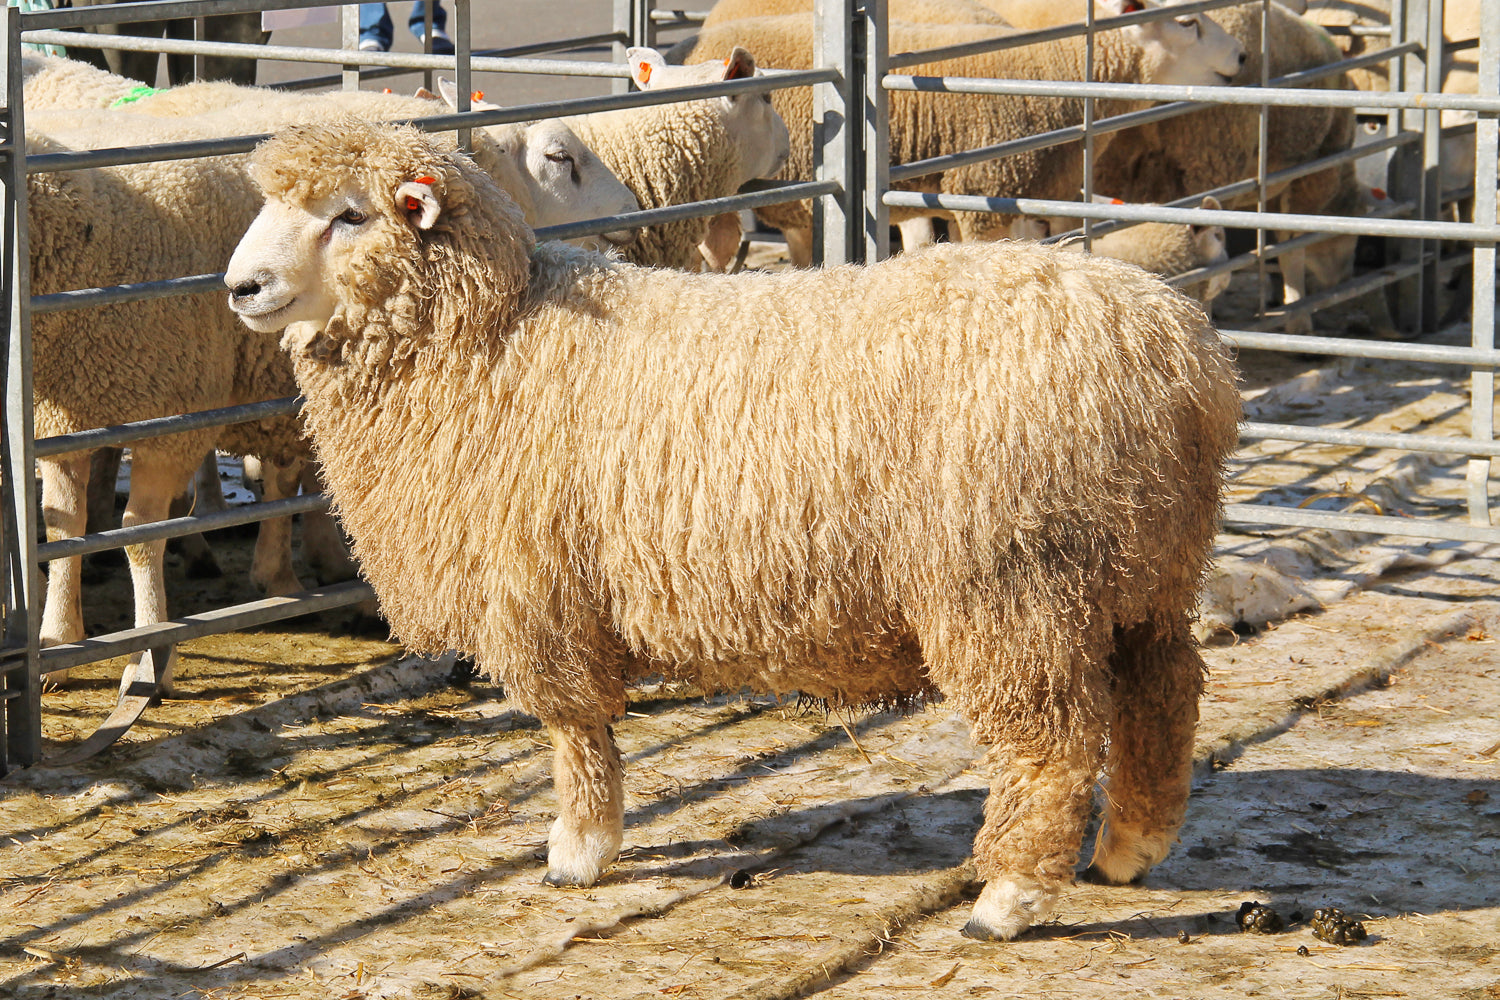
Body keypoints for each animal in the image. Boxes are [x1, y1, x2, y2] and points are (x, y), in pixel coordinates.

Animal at [219, 121, 1230, 941]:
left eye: (348, 216)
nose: (240, 286)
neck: (490, 336)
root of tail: (1179, 356)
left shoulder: (541, 590)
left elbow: (574, 731)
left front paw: (578, 849)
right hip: (1142, 568)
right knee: (1164, 694)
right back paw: (1132, 848)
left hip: (1012, 582)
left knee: (1053, 743)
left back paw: (1009, 900)